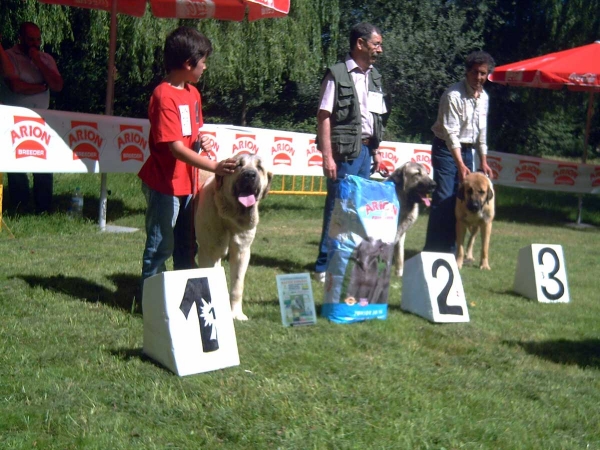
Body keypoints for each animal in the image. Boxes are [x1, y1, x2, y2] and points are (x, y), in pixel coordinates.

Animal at [196, 154, 274, 320]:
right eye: (238, 165)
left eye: (259, 167)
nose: (249, 175)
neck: (229, 218)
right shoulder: (208, 251)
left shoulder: (242, 252)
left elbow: (238, 285)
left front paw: (236, 314)